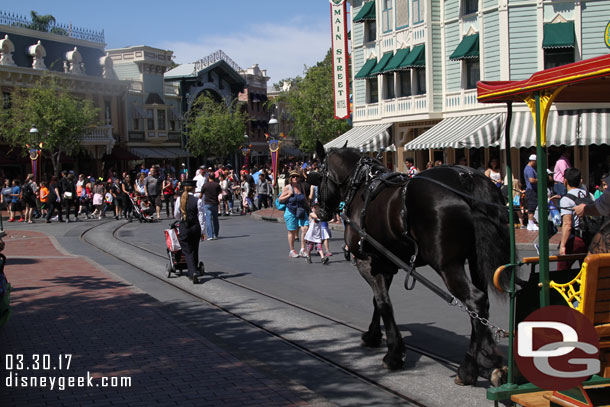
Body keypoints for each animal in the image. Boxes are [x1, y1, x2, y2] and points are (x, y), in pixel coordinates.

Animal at [314, 142, 508, 388]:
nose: (319, 211)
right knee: (481, 305)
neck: (360, 186)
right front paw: (373, 336)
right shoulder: (385, 263)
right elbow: (378, 301)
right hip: (475, 260)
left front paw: (393, 355)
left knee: (475, 301)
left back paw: (468, 370)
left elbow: (383, 303)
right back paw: (489, 361)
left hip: (447, 265)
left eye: (319, 174)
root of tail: (466, 178)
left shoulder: (367, 262)